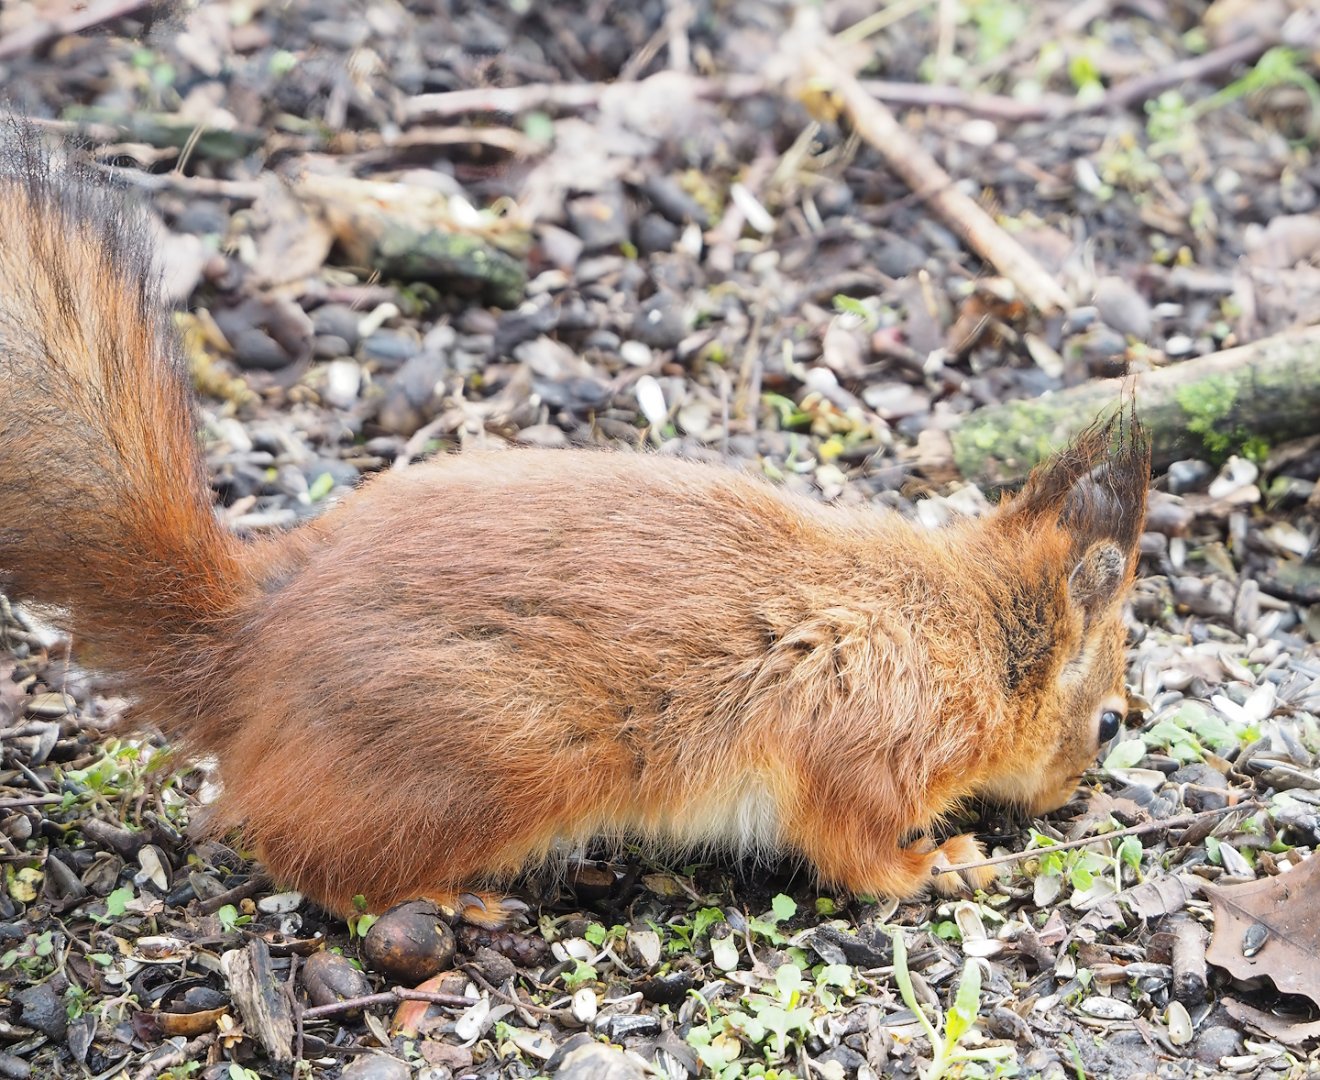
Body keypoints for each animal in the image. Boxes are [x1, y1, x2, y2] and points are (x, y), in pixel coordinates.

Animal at [0, 132, 1151, 927]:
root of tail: (245, 654)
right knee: (312, 860)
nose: (1067, 799)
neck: (955, 629)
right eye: (1108, 721)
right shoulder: (861, 748)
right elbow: (855, 849)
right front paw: (938, 865)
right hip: (481, 767)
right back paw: (445, 900)